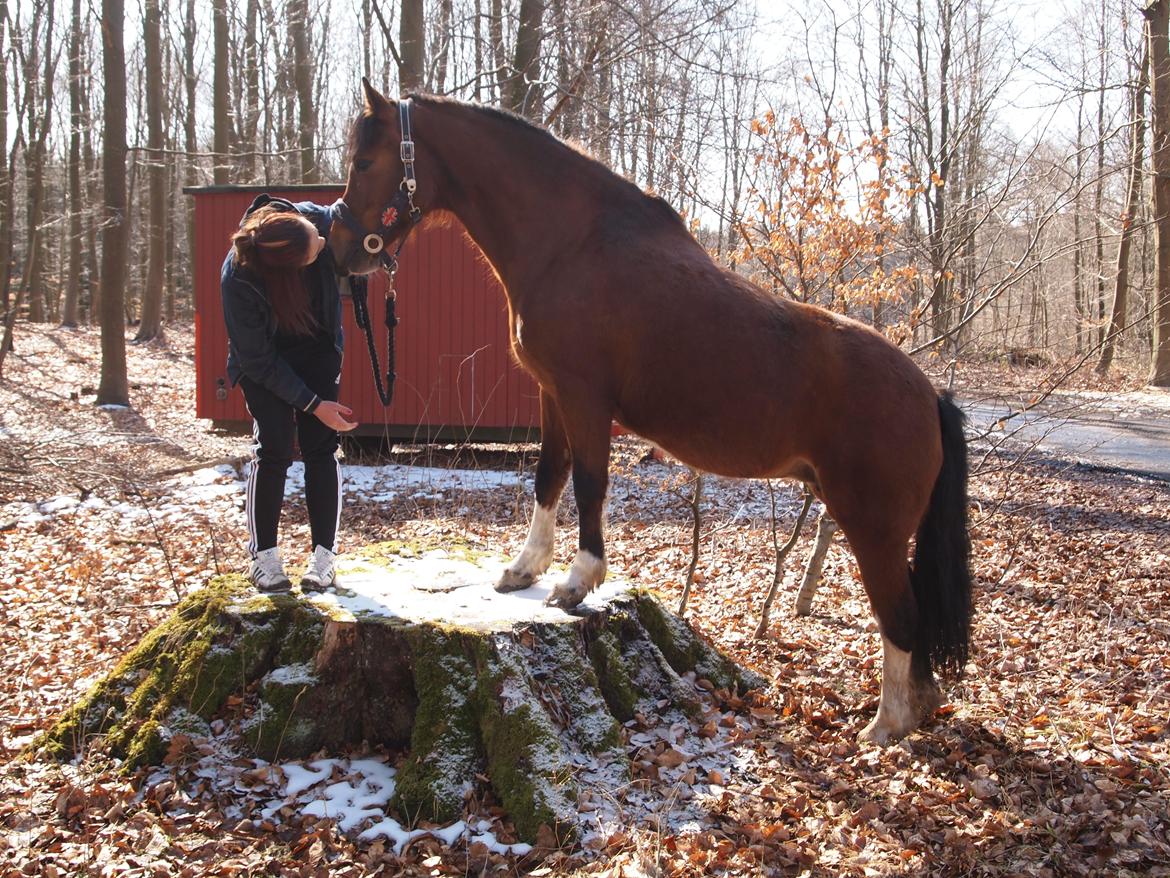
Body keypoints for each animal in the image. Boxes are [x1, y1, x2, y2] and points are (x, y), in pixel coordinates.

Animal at [329, 80, 968, 744]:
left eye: (365, 162)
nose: (342, 251)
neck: (573, 245)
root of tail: (930, 396)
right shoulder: (551, 394)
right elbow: (548, 476)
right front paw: (524, 570)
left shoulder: (584, 397)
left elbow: (589, 482)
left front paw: (577, 583)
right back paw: (913, 709)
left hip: (873, 528)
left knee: (901, 614)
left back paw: (885, 726)